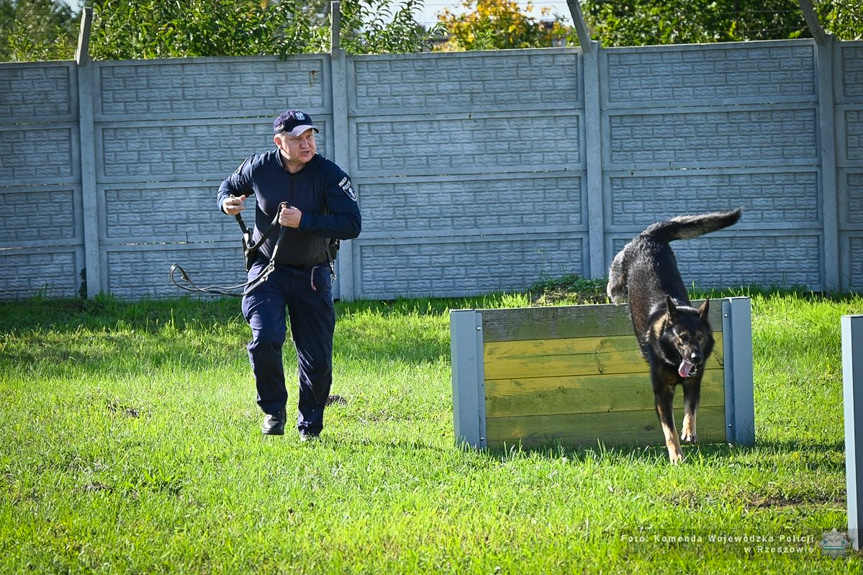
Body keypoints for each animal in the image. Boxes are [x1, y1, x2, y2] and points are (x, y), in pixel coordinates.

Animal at [608, 209, 744, 466]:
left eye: (700, 337)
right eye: (682, 337)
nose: (696, 358)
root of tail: (648, 236)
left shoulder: (693, 383)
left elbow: (691, 411)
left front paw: (689, 432)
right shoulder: (662, 392)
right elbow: (668, 429)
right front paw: (676, 455)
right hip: (618, 279)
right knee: (613, 286)